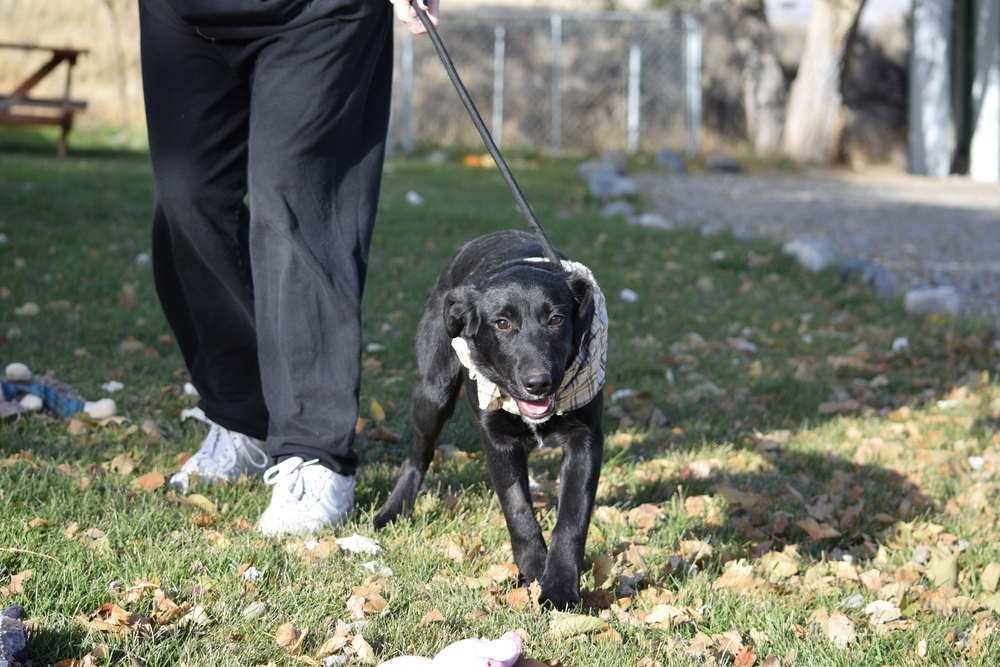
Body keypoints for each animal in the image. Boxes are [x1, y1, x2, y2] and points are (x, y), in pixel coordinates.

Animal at [376, 230, 604, 612]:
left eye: (556, 319)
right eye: (502, 323)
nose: (538, 383)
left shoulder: (586, 437)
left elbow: (572, 519)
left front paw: (559, 588)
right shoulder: (497, 439)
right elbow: (517, 509)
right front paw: (534, 570)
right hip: (433, 392)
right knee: (419, 450)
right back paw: (394, 510)